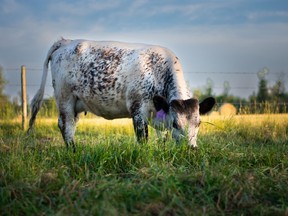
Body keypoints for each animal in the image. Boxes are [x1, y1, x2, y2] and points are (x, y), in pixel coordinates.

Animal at [28, 37, 215, 152]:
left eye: (199, 123)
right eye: (176, 124)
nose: (191, 149)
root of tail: (66, 41)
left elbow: (162, 138)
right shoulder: (138, 110)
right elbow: (142, 138)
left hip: (76, 103)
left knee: (71, 125)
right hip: (64, 97)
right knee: (65, 125)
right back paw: (73, 151)